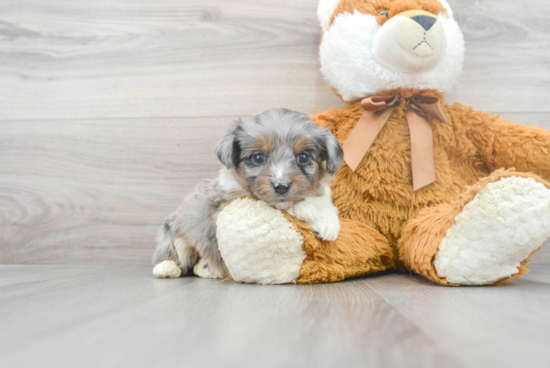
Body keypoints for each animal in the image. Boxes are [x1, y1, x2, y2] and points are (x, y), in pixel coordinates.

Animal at [153, 108, 342, 278]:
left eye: (303, 157)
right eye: (258, 158)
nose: (281, 186)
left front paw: (328, 220)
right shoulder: (234, 199)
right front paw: (314, 212)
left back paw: (207, 268)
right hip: (176, 231)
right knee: (175, 254)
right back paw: (166, 268)